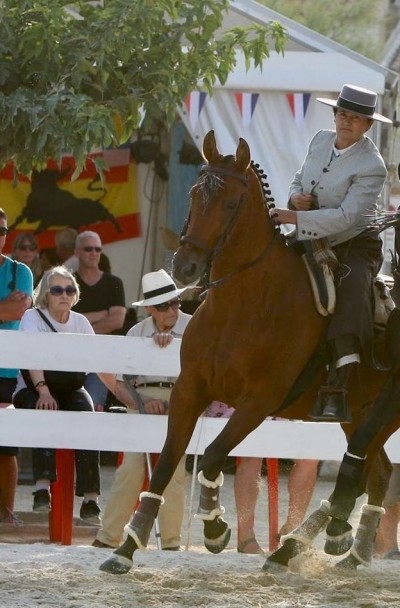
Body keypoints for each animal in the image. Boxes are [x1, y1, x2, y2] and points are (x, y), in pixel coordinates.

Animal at [101, 131, 400, 576]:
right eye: (194, 196)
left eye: (229, 203)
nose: (186, 266)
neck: (244, 303)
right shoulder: (190, 390)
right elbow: (169, 461)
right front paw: (126, 547)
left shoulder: (258, 401)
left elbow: (211, 455)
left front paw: (215, 528)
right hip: (360, 413)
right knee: (377, 472)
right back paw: (339, 550)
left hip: (382, 410)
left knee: (361, 471)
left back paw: (313, 542)